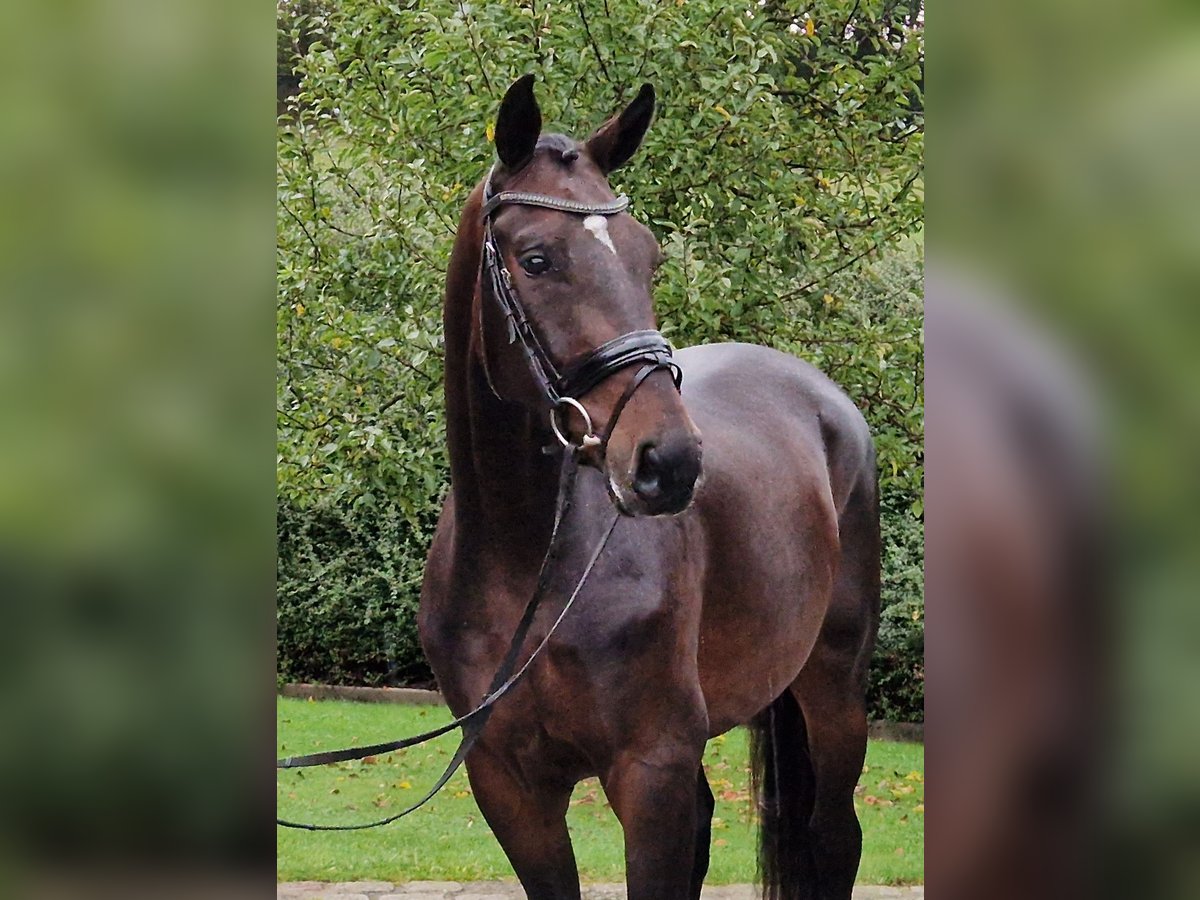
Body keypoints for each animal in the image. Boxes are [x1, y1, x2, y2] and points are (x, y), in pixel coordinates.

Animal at [417, 77, 878, 900]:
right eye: (537, 259)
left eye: (648, 257)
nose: (671, 460)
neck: (526, 564)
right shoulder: (509, 786)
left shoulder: (649, 768)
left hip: (834, 687)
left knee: (835, 836)